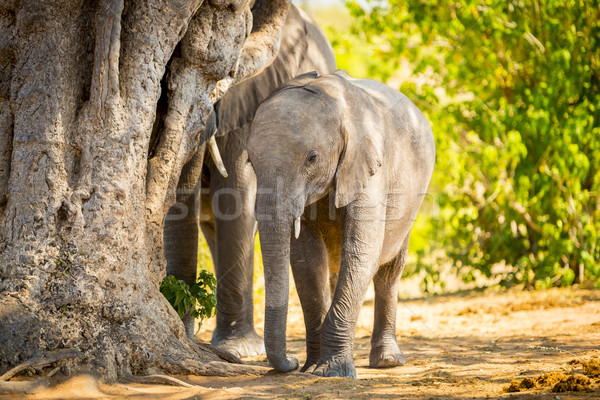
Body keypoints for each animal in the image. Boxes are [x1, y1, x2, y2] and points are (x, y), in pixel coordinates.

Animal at [248, 69, 436, 378]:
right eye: (250, 162)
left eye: (312, 158)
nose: (292, 362)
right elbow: (307, 262)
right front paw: (312, 367)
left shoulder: (371, 168)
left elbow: (361, 253)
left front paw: (331, 371)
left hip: (413, 197)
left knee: (389, 271)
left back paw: (387, 361)